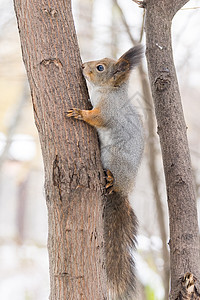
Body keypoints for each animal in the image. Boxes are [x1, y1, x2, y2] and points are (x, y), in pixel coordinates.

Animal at [67, 45, 144, 300]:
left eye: (100, 67)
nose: (83, 65)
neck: (110, 91)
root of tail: (124, 190)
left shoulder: (108, 112)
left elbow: (97, 117)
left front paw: (80, 113)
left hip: (115, 160)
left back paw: (110, 179)